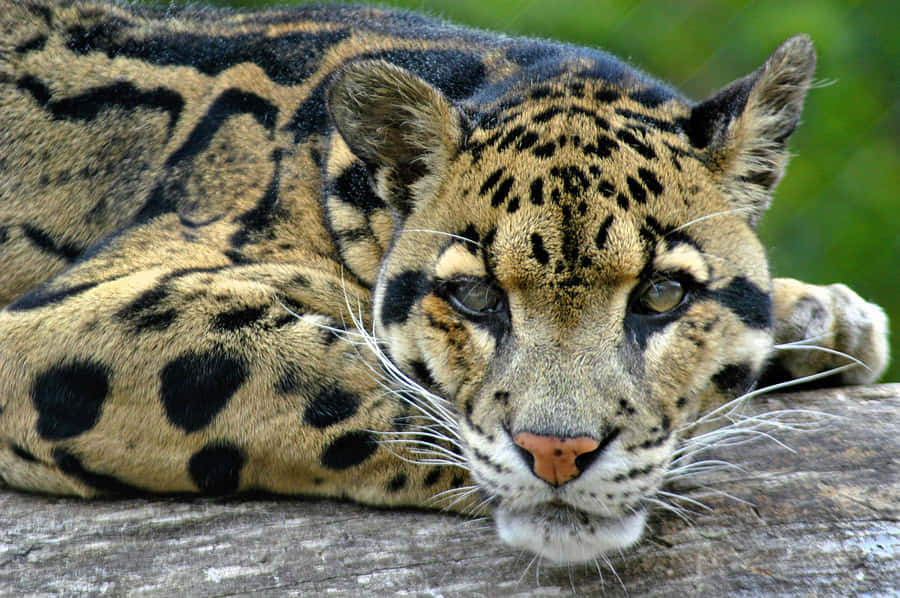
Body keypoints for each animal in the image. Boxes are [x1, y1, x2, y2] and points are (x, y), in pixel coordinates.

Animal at [0, 0, 889, 565]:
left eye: (661, 296)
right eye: (474, 297)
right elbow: (337, 376)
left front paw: (822, 317)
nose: (558, 454)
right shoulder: (53, 325)